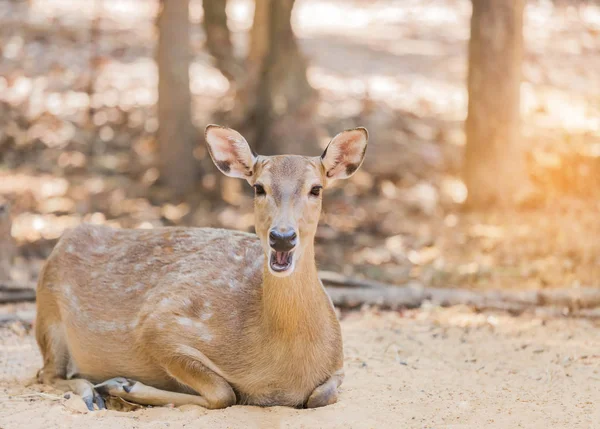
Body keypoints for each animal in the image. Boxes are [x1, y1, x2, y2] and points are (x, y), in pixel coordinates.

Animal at [35, 123, 368, 408]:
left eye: (316, 189)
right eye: (258, 188)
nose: (282, 237)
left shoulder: (338, 363)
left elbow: (321, 395)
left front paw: (123, 385)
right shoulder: (157, 324)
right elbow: (224, 392)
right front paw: (122, 384)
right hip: (49, 317)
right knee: (49, 374)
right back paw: (92, 392)